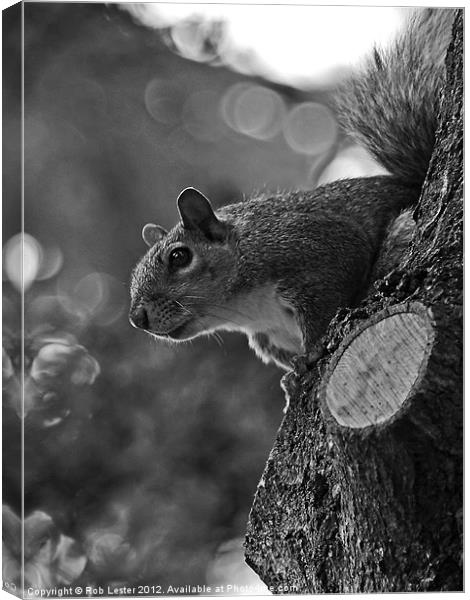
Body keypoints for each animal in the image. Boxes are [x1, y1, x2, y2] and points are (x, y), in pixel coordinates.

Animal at [129, 9, 456, 370]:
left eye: (179, 256)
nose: (138, 318)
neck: (248, 308)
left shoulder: (312, 248)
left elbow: (328, 299)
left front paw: (313, 350)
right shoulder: (267, 338)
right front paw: (292, 378)